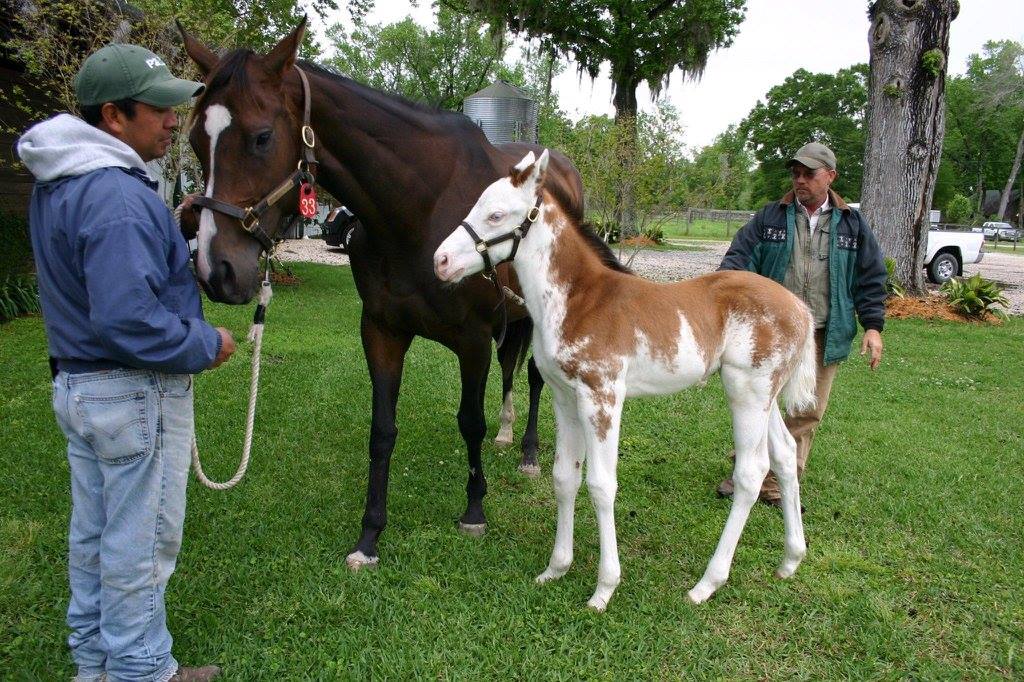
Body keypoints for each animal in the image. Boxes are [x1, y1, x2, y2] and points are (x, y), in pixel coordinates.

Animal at [178, 18, 585, 565]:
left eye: (262, 137)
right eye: (197, 140)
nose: (215, 270)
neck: (420, 209)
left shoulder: (472, 340)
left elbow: (469, 421)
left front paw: (474, 510)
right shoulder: (382, 331)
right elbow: (382, 431)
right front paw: (369, 535)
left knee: (537, 380)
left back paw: (528, 453)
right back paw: (508, 435)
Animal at [432, 151, 815, 606]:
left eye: (495, 215)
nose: (440, 261)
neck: (579, 299)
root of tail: (800, 307)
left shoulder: (602, 396)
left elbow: (601, 485)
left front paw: (604, 588)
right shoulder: (565, 398)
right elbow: (564, 476)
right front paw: (556, 568)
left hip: (747, 392)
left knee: (751, 473)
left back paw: (706, 584)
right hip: (764, 395)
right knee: (786, 454)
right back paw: (790, 560)